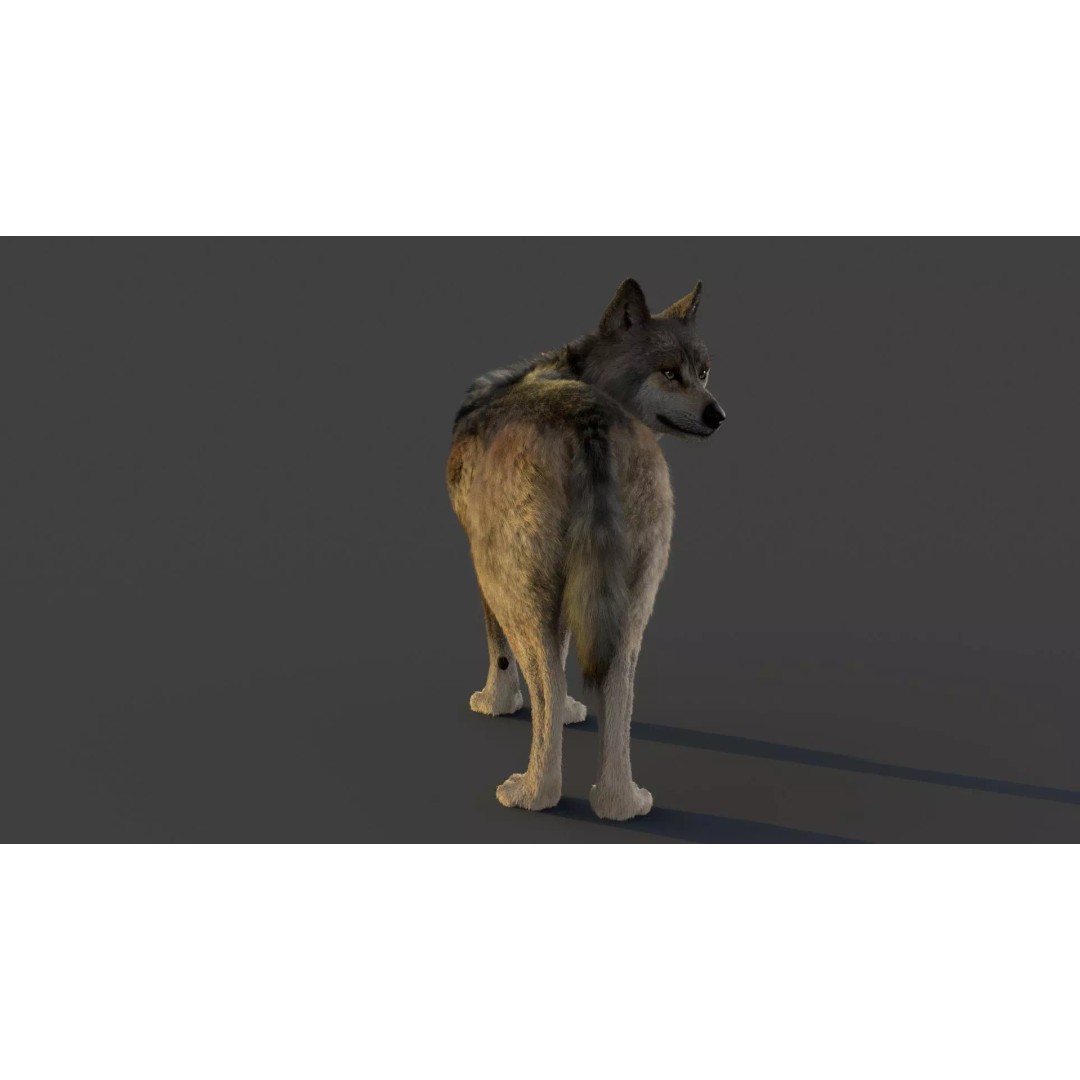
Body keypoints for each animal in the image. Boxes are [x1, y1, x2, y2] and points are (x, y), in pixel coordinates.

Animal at [447, 279, 724, 820]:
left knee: (548, 682)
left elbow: (503, 653)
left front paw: (496, 702)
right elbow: (565, 651)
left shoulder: (481, 569)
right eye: (669, 372)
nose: (718, 414)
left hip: (515, 588)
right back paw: (621, 803)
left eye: (701, 372)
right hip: (632, 604)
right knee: (616, 688)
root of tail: (587, 416)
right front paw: (574, 713)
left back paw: (533, 793)